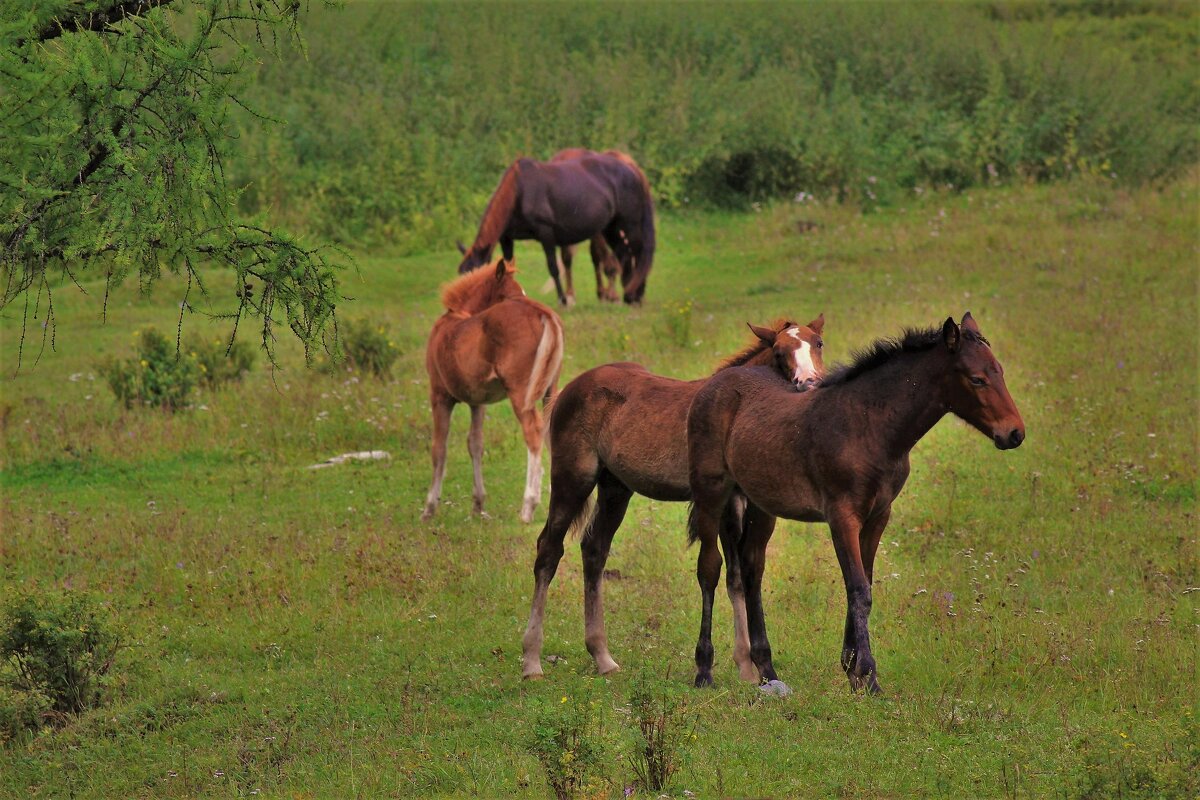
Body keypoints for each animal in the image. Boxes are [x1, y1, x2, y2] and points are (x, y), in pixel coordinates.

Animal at [424, 257, 564, 525]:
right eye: (511, 293)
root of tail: (543, 313)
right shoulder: (477, 402)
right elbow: (475, 444)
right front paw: (478, 505)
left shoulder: (439, 396)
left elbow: (439, 449)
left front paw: (429, 507)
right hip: (549, 390)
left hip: (521, 393)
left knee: (533, 431)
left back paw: (528, 506)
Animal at [456, 149, 657, 307]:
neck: (519, 192)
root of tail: (632, 169)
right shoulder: (507, 239)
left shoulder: (546, 234)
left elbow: (553, 267)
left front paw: (563, 300)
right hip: (610, 228)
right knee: (623, 255)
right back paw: (627, 295)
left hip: (629, 224)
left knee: (638, 253)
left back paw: (636, 295)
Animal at [520, 316, 830, 681]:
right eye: (780, 351)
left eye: (818, 343)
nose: (809, 383)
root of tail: (569, 389)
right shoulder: (721, 503)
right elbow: (726, 572)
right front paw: (737, 664)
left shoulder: (739, 504)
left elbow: (737, 577)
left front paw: (747, 668)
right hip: (573, 479)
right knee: (548, 551)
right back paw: (532, 660)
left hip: (615, 488)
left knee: (594, 550)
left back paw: (603, 657)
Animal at [686, 311, 1022, 695]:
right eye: (977, 379)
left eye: (1000, 371)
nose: (1014, 433)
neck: (868, 426)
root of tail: (714, 383)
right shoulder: (841, 515)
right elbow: (858, 588)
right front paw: (869, 675)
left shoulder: (878, 515)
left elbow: (864, 583)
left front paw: (851, 669)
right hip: (712, 493)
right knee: (710, 568)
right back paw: (704, 670)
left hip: (760, 505)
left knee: (752, 568)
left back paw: (767, 669)